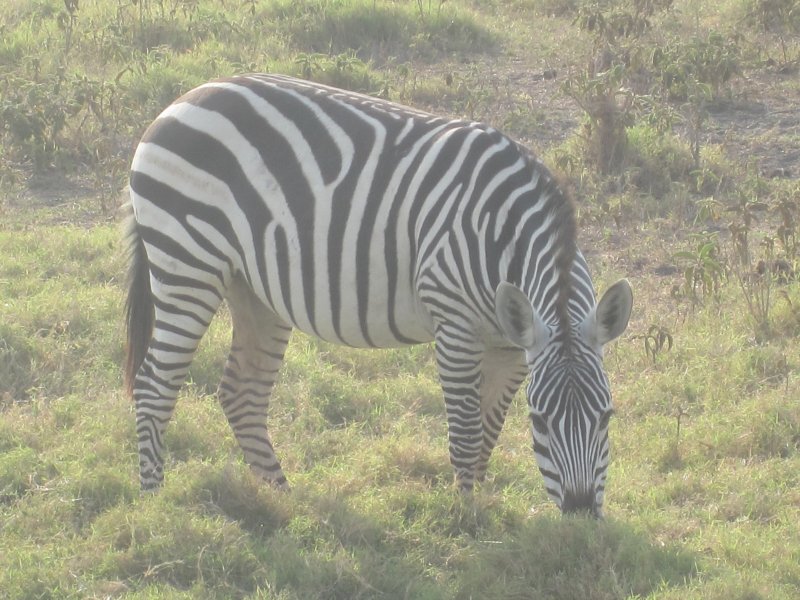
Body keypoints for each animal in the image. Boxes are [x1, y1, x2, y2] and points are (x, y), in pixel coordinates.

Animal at [124, 74, 632, 517]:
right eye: (541, 422)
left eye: (607, 417)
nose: (581, 513)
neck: (505, 235)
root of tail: (179, 101)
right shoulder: (455, 326)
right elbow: (466, 432)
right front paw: (466, 518)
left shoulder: (510, 346)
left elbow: (489, 431)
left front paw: (480, 505)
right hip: (187, 262)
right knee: (154, 385)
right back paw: (154, 500)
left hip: (251, 289)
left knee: (242, 392)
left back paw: (281, 496)